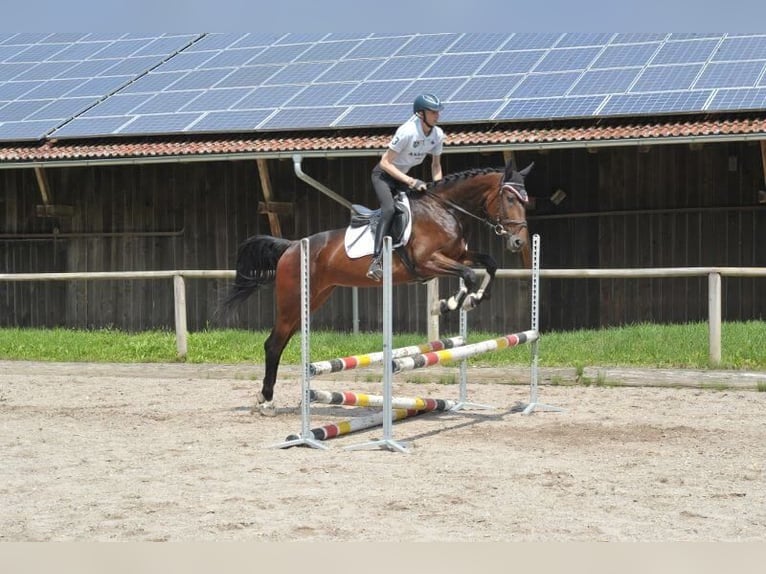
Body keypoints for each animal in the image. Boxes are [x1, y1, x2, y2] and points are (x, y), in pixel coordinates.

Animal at [222, 160, 536, 416]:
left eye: (526, 201)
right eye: (510, 198)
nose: (519, 242)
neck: (444, 209)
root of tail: (292, 246)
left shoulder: (458, 256)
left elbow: (489, 264)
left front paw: (473, 298)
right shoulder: (428, 262)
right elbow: (469, 275)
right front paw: (455, 302)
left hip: (314, 298)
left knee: (282, 340)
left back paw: (268, 398)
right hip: (292, 300)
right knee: (274, 344)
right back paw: (266, 401)